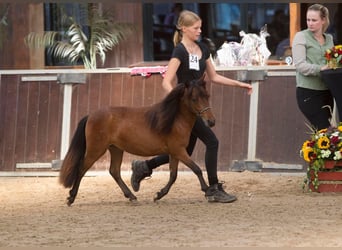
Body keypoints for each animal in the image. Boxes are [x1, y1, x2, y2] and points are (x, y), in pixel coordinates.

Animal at [58, 76, 214, 205]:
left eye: (207, 95)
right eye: (194, 99)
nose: (211, 121)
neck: (174, 120)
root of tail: (90, 115)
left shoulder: (175, 152)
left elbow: (173, 175)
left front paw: (159, 195)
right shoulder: (179, 151)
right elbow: (196, 169)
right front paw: (208, 191)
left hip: (116, 149)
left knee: (114, 171)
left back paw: (131, 196)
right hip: (96, 150)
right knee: (81, 169)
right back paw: (71, 197)